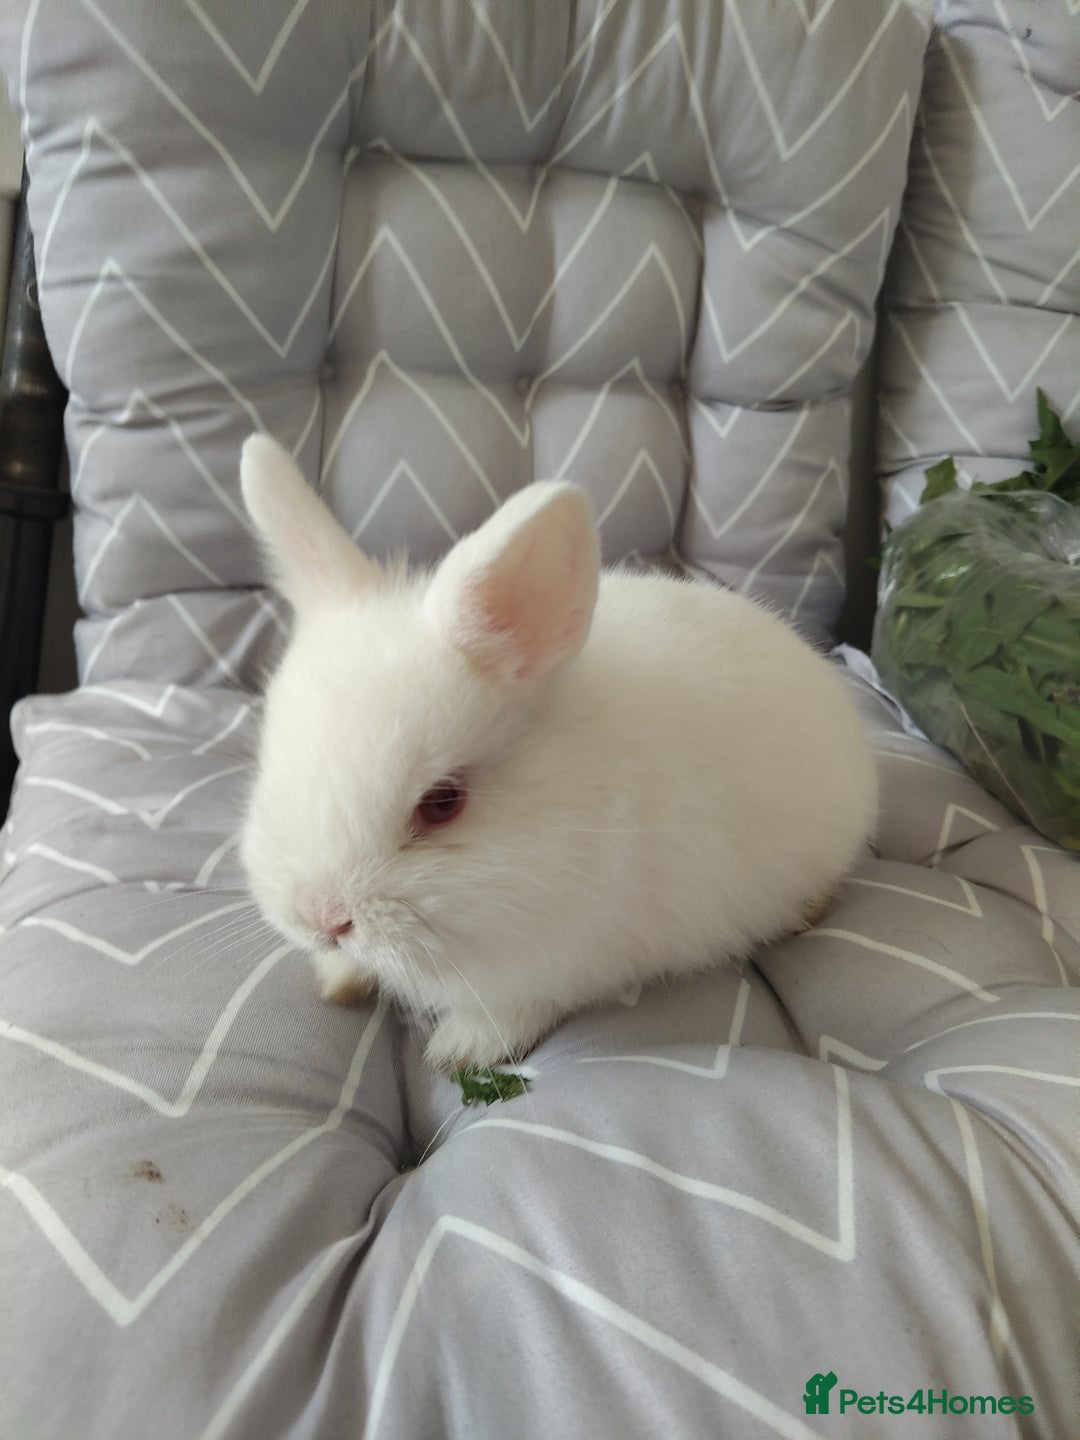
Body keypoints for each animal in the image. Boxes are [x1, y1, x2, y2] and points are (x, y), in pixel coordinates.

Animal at [239, 434, 878, 1072]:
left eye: (444, 802)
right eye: (269, 768)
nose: (322, 919)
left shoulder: (559, 963)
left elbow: (517, 1010)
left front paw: (461, 1050)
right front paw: (339, 978)